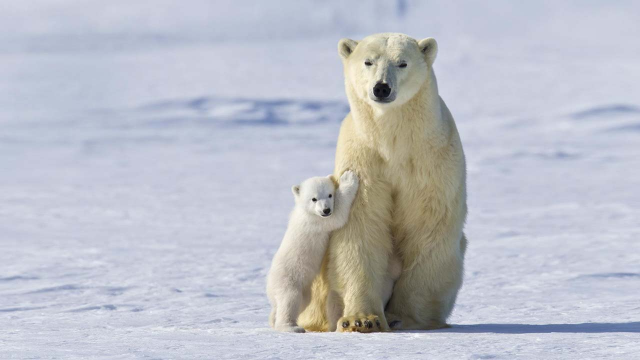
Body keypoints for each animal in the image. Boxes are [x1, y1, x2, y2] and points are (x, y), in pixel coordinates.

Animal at [298, 33, 468, 332]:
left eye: (402, 62)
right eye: (368, 61)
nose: (381, 88)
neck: (393, 141)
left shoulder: (431, 161)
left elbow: (428, 227)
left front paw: (404, 317)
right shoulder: (364, 160)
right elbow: (361, 229)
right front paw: (362, 319)